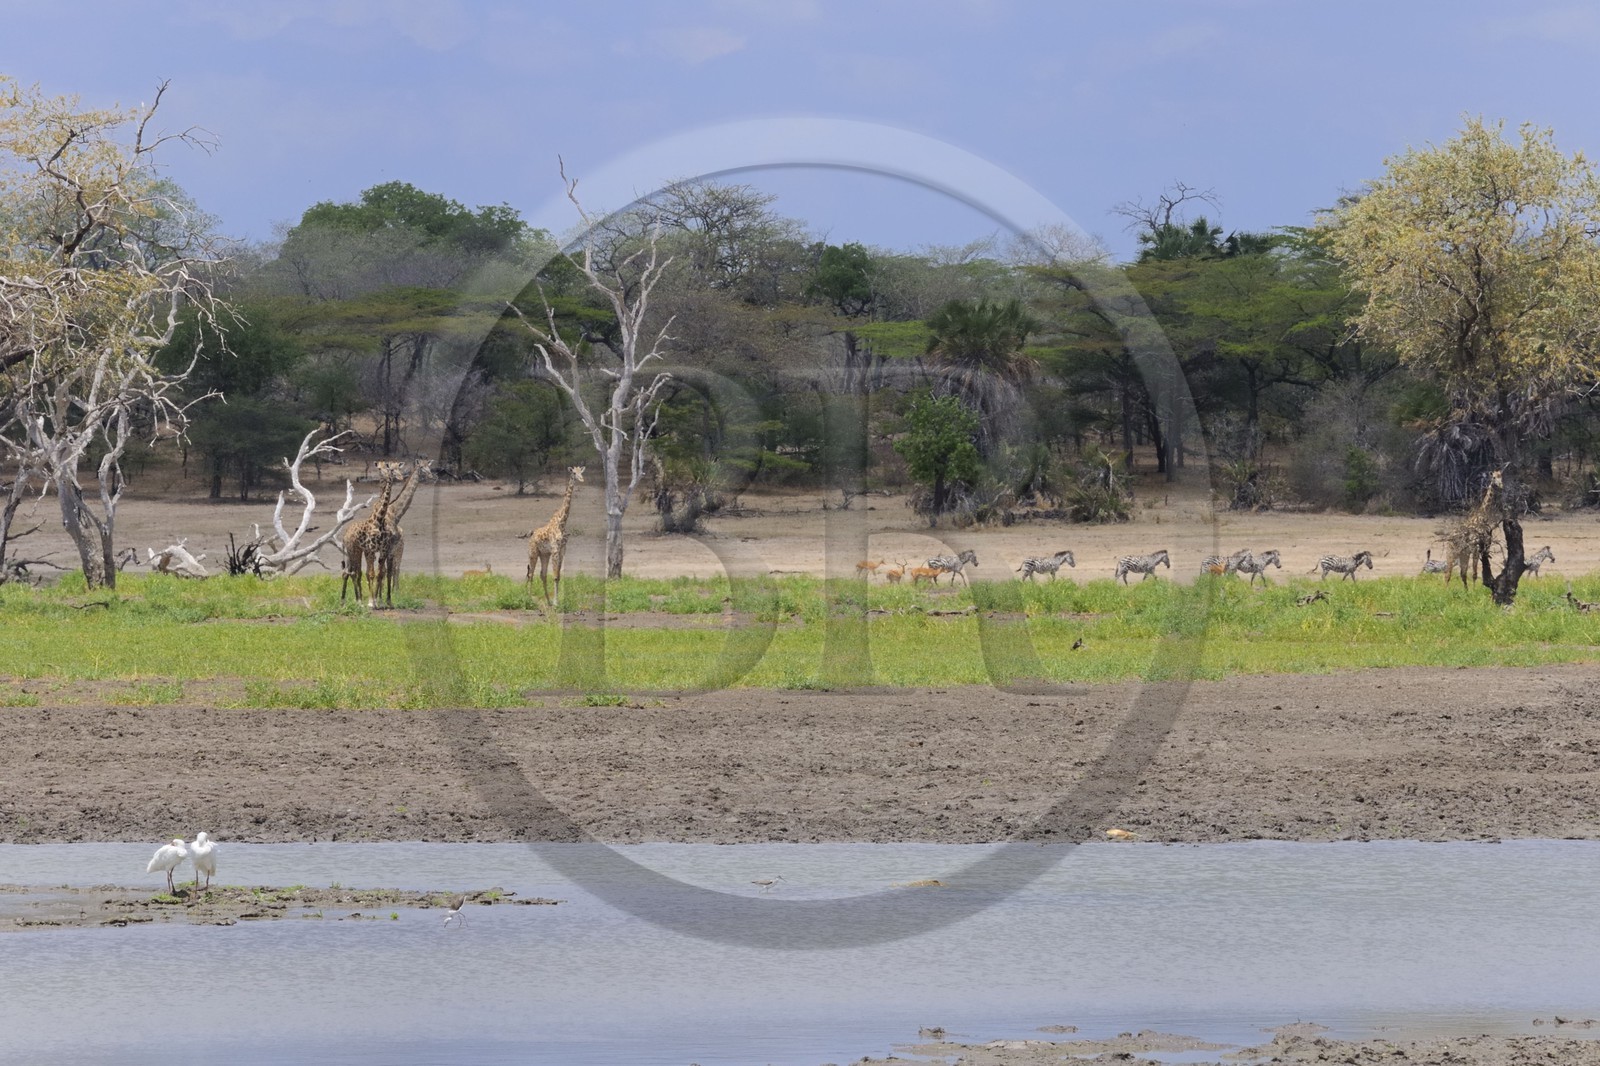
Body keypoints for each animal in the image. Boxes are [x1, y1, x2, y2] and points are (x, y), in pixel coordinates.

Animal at [341, 461, 405, 606]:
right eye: (390, 469)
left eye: (397, 468)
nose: (399, 477)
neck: (379, 521)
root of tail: (346, 531)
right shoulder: (370, 550)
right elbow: (371, 573)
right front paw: (372, 602)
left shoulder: (383, 550)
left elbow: (380, 573)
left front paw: (379, 601)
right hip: (352, 550)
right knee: (350, 572)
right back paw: (349, 601)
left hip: (358, 551)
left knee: (355, 572)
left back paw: (358, 600)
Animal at [527, 466, 585, 604]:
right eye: (573, 473)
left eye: (581, 472)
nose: (582, 479)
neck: (561, 523)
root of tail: (531, 535)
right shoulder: (555, 550)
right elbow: (554, 576)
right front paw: (556, 602)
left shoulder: (562, 551)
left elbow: (558, 576)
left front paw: (556, 602)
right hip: (533, 553)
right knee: (531, 574)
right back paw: (529, 599)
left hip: (544, 554)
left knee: (542, 574)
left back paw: (547, 601)